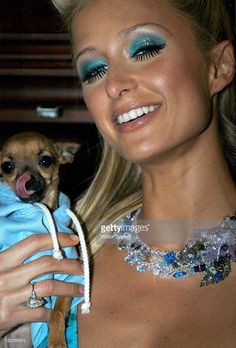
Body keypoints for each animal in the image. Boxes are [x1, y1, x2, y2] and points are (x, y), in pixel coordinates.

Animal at [0, 131, 80, 348]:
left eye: (45, 161)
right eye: (7, 167)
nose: (26, 181)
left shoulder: (67, 279)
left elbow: (57, 312)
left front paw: (56, 340)